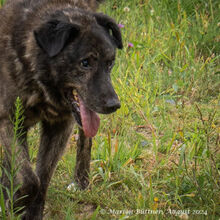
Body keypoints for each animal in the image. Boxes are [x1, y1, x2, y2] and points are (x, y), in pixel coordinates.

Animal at [0, 0, 122, 217]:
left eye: (110, 63)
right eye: (85, 63)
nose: (114, 105)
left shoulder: (60, 127)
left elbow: (41, 179)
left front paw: (29, 211)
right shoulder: (9, 121)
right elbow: (28, 176)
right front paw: (15, 200)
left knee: (85, 140)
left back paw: (81, 181)